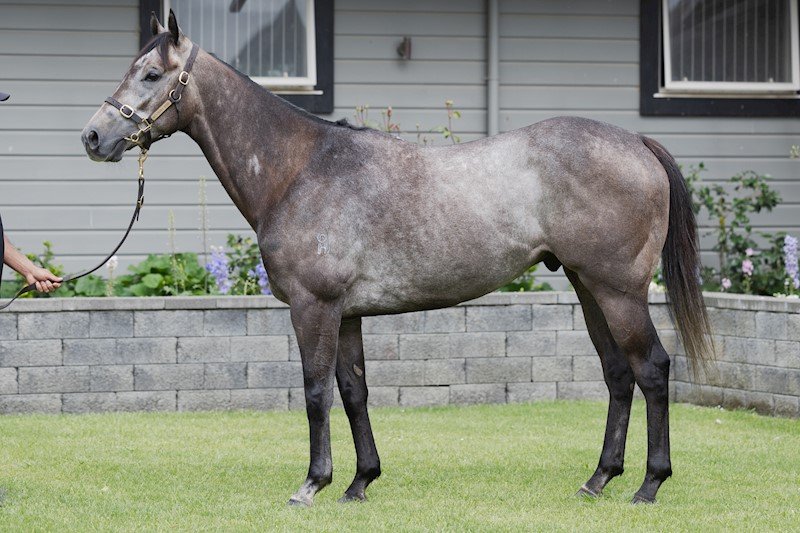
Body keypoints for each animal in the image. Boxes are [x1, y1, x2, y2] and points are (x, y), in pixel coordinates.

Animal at [81, 11, 712, 506]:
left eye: (152, 74)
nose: (93, 137)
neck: (300, 169)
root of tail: (636, 142)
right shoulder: (346, 314)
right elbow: (354, 391)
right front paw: (360, 482)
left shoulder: (313, 308)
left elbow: (315, 391)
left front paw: (312, 484)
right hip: (588, 286)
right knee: (618, 375)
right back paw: (598, 479)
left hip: (618, 291)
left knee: (652, 369)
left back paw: (648, 485)